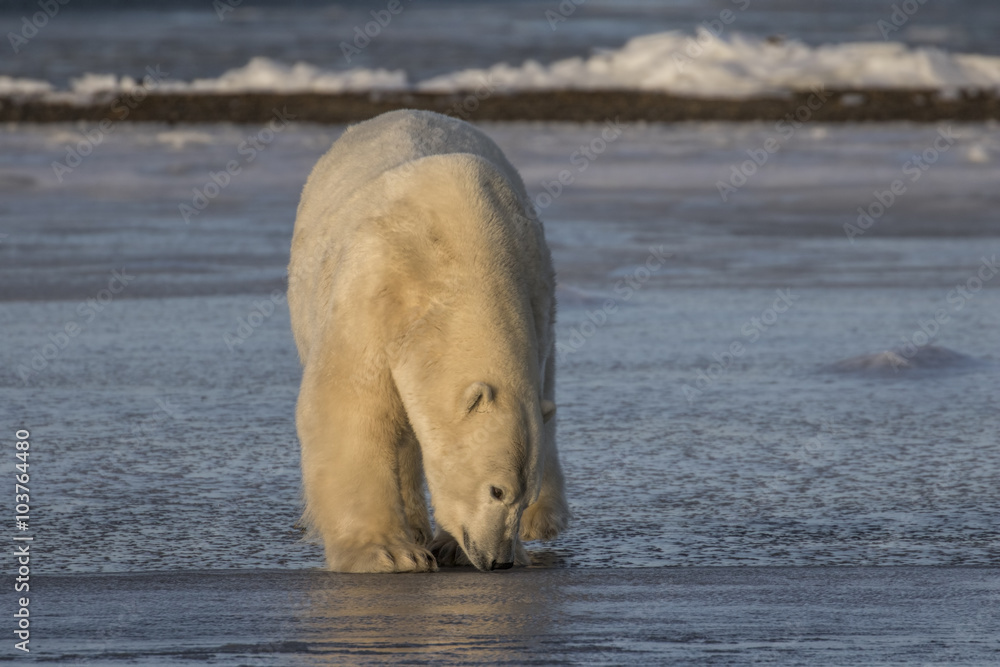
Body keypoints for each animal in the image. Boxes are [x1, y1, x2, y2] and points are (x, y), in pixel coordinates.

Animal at [288, 109, 569, 573]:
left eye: (521, 495)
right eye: (496, 490)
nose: (499, 561)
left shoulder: (535, 290)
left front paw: (453, 546)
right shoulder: (376, 290)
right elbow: (352, 409)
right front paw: (390, 553)